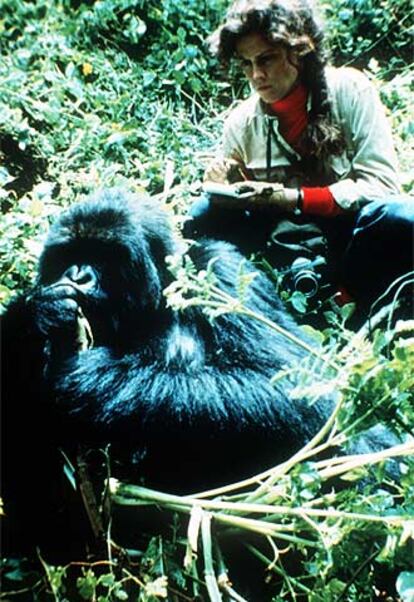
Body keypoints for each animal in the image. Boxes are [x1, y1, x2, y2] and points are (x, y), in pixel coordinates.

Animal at [0, 189, 392, 556]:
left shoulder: (222, 272)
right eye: (68, 255)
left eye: (104, 256)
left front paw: (92, 381)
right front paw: (33, 320)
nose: (77, 276)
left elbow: (299, 391)